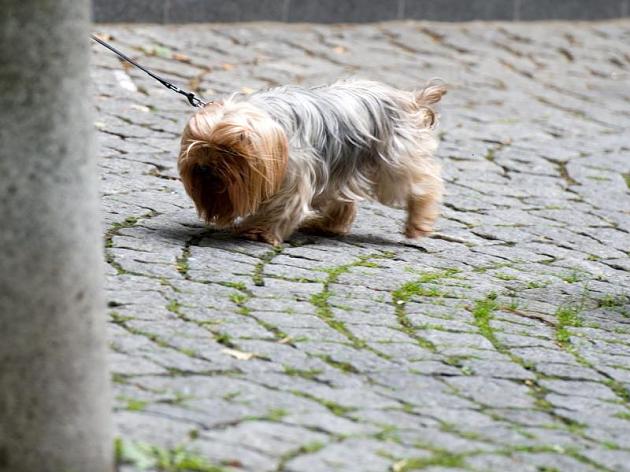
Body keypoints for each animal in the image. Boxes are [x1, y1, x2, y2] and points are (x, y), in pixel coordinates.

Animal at [178, 79, 444, 245]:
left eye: (228, 150)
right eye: (199, 145)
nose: (203, 167)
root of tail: (409, 100)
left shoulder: (295, 174)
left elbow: (284, 204)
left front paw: (259, 231)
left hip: (393, 159)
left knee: (423, 185)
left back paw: (417, 223)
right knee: (342, 202)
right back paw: (326, 225)